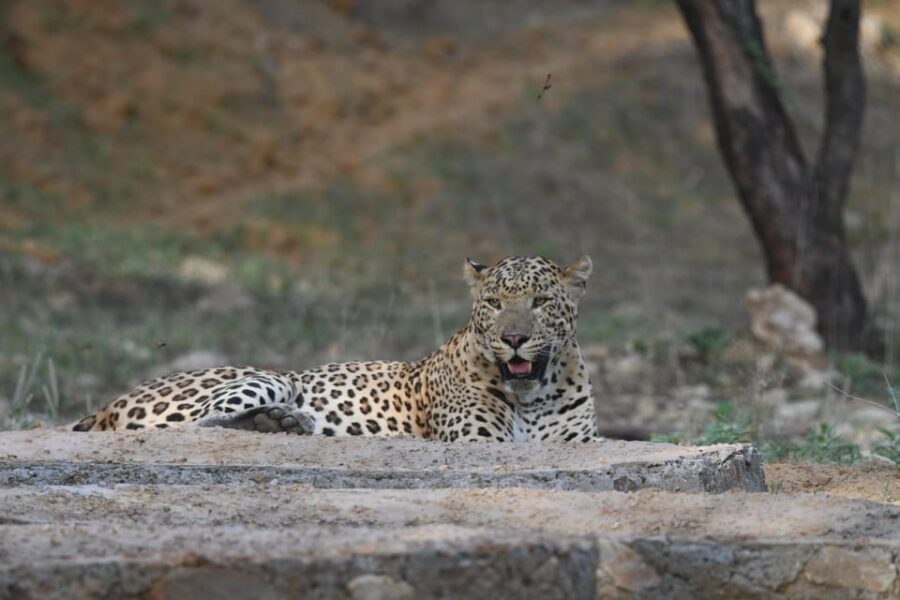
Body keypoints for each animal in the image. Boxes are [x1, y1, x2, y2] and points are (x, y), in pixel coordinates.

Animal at [71, 255, 599, 442]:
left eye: (540, 302)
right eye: (493, 303)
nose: (513, 338)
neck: (532, 397)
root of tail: (108, 404)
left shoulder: (576, 442)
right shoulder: (477, 440)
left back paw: (282, 423)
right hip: (270, 376)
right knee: (202, 422)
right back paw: (283, 421)